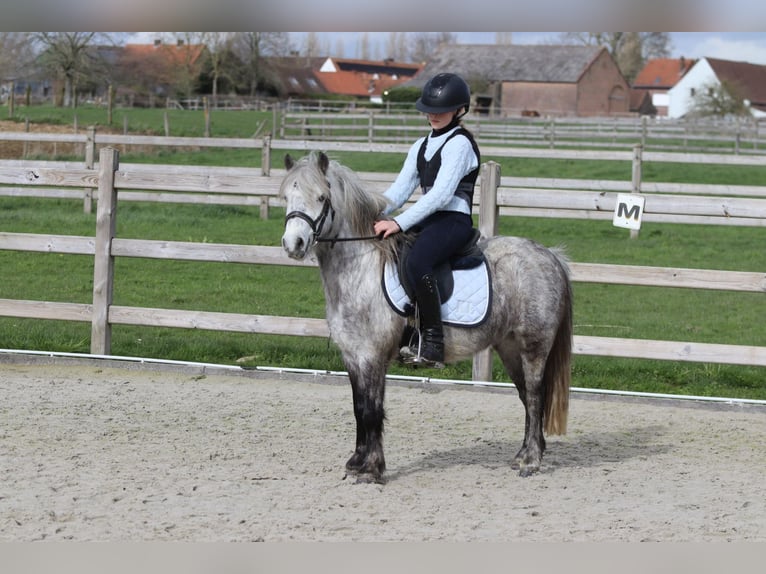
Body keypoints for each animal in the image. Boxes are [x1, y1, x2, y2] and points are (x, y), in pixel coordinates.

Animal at [280, 150, 573, 482]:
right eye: (287, 197)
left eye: (321, 197)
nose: (293, 244)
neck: (359, 269)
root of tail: (549, 256)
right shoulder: (353, 355)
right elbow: (359, 406)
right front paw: (356, 462)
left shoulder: (371, 355)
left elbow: (371, 410)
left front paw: (372, 468)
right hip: (509, 346)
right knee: (525, 396)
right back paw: (523, 454)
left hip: (534, 346)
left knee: (535, 395)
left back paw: (531, 461)